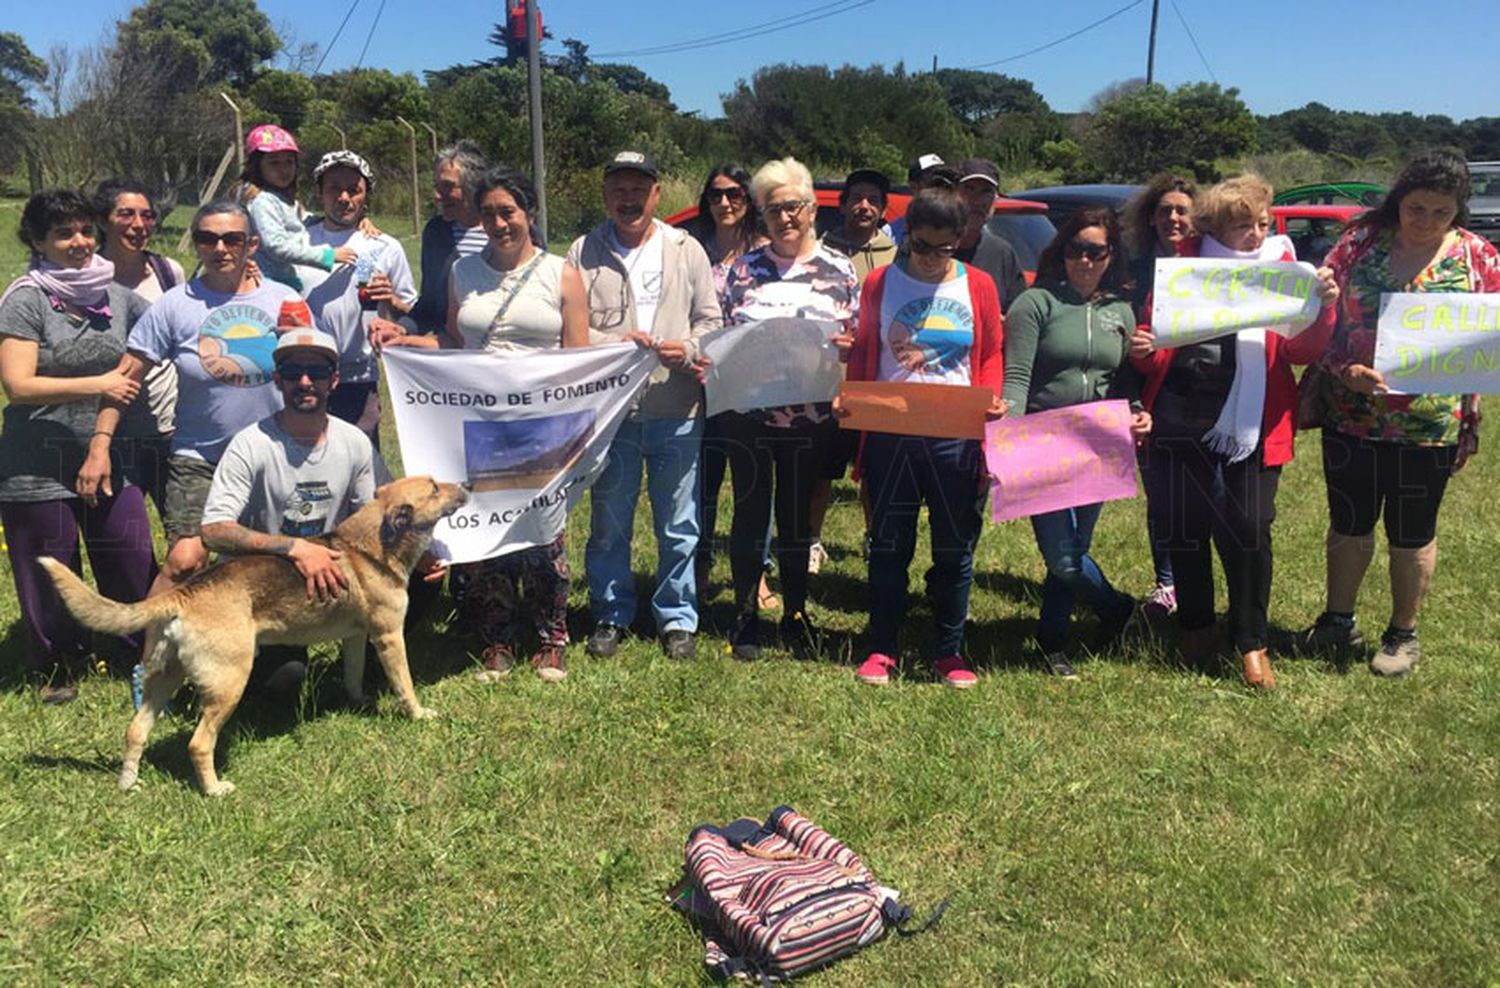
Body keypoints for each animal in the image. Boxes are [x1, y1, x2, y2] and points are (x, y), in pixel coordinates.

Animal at [41, 476, 468, 797]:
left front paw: (359, 702)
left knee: (135, 731)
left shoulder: (355, 638)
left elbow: (353, 675)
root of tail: (183, 594)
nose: (465, 485)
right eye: (434, 488)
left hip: (164, 678)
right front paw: (418, 715)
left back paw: (129, 784)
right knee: (198, 744)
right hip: (230, 682)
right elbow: (405, 685)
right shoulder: (389, 637)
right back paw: (215, 790)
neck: (371, 546)